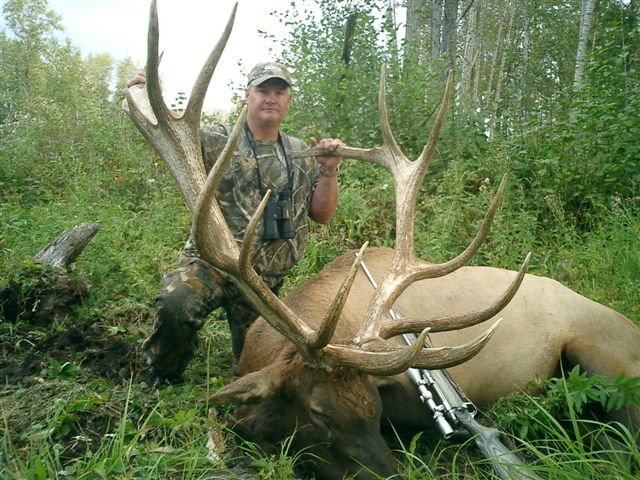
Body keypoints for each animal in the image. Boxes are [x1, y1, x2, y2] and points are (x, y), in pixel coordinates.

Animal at [124, 2, 640, 479]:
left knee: (620, 439)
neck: (261, 347)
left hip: (606, 355)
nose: (389, 472)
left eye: (373, 407)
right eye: (319, 414)